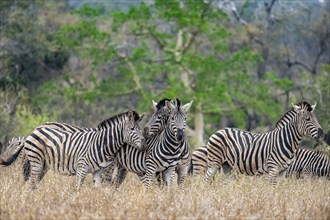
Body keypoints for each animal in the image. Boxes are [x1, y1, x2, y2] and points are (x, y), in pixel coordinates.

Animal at [0, 111, 144, 190]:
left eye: (140, 129)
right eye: (132, 129)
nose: (144, 143)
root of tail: (35, 129)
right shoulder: (104, 168)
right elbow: (106, 183)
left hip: (43, 164)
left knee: (33, 181)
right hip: (38, 162)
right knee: (32, 181)